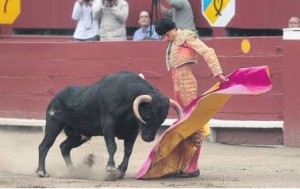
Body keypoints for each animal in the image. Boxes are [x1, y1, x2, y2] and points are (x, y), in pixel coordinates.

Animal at [35, 70, 183, 180]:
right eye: (147, 115)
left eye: (162, 119)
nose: (149, 138)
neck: (128, 99)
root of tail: (55, 97)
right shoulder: (108, 125)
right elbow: (112, 146)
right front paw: (111, 167)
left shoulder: (133, 131)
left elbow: (128, 151)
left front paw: (120, 171)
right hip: (54, 123)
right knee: (44, 146)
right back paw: (42, 172)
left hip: (80, 135)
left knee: (64, 147)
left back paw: (73, 171)